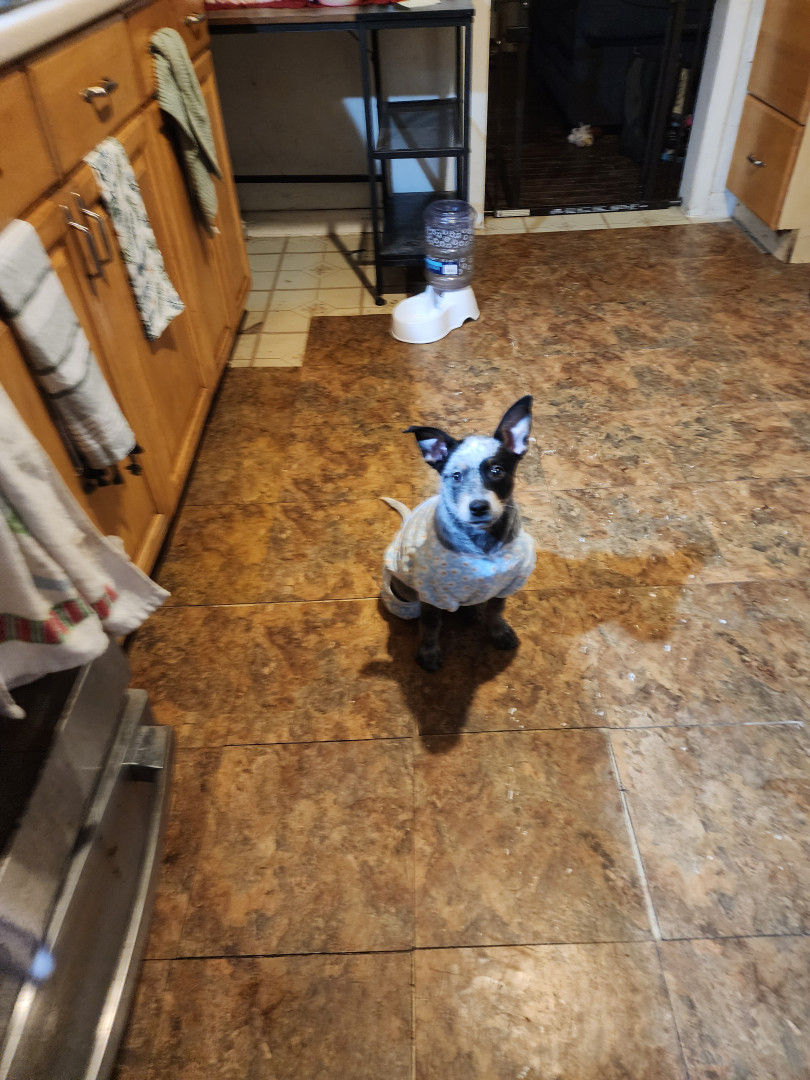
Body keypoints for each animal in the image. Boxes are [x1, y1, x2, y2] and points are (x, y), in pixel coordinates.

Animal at [381, 396, 536, 672]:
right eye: (455, 476)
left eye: (497, 470)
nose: (478, 507)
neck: (483, 544)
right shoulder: (432, 595)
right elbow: (431, 627)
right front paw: (429, 653)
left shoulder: (506, 584)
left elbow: (497, 611)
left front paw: (499, 632)